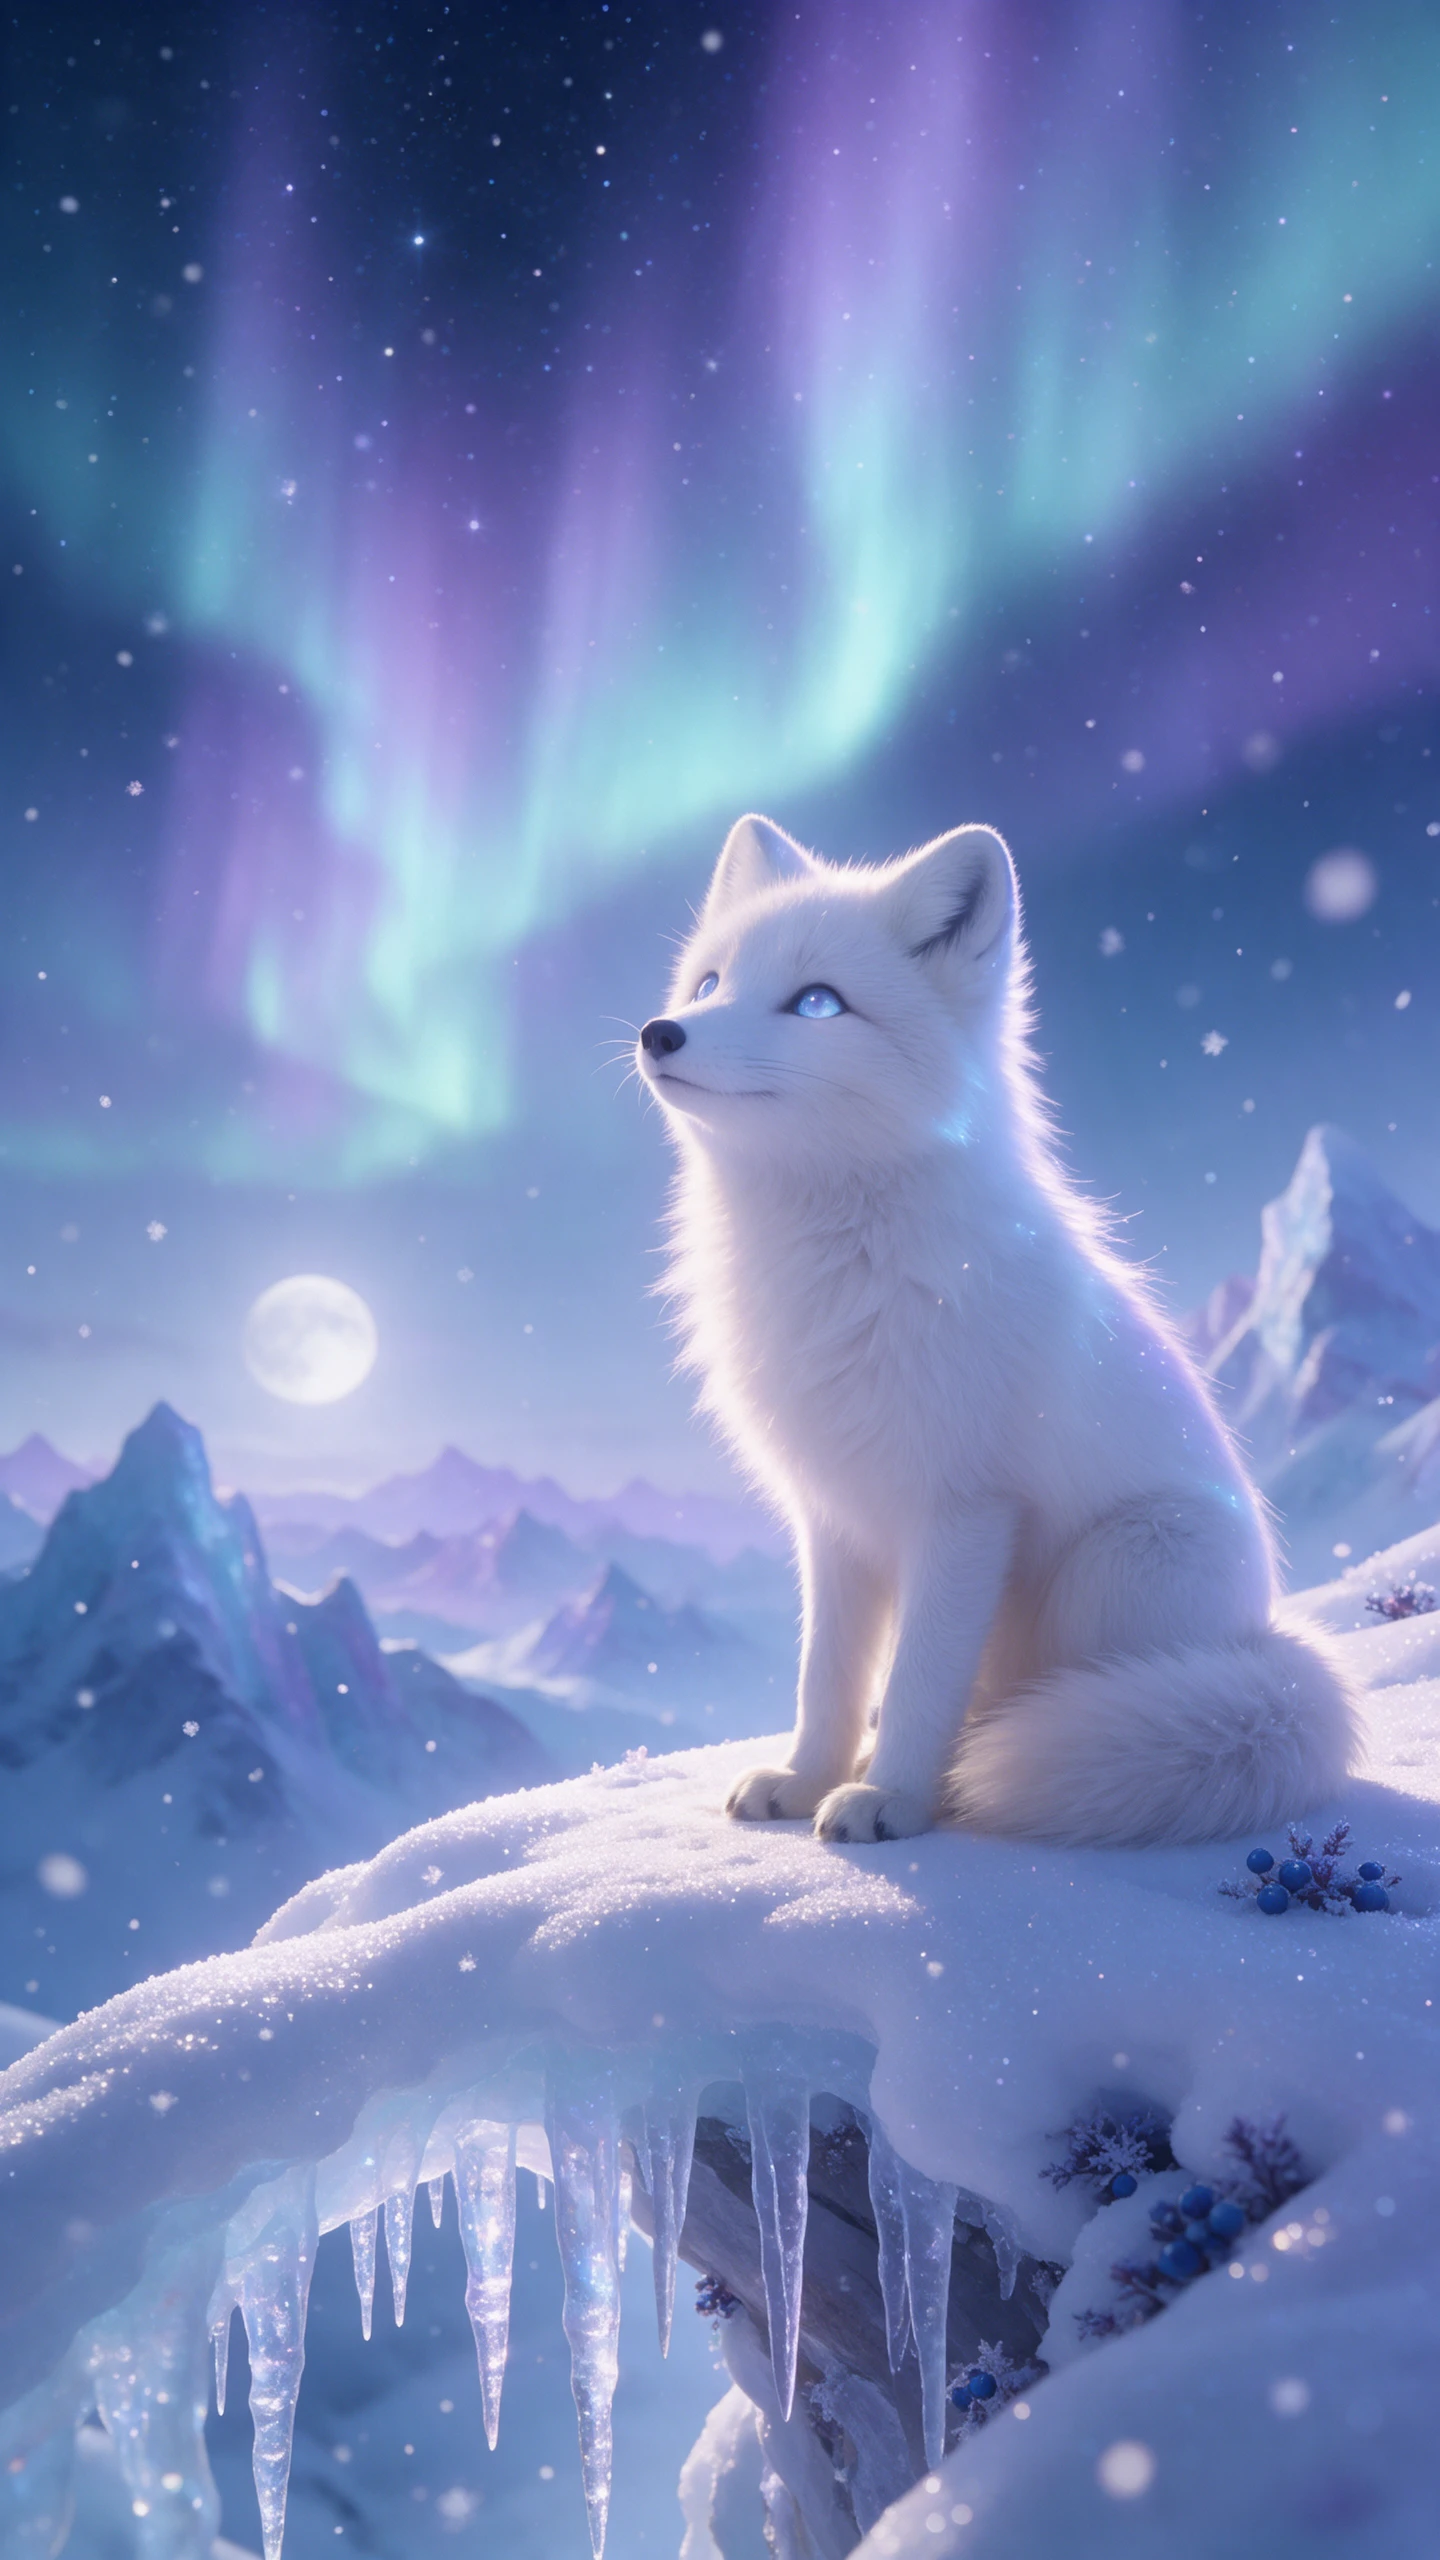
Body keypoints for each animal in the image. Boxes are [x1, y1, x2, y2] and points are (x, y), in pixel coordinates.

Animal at [634, 813, 1358, 1848]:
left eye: (817, 1003)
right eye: (708, 983)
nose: (661, 1032)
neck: (838, 1267)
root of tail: (1267, 1631)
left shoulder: (966, 1509)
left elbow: (920, 1678)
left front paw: (889, 1800)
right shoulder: (833, 1518)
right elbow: (826, 1678)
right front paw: (809, 1780)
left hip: (1115, 1568)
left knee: (1015, 1703)